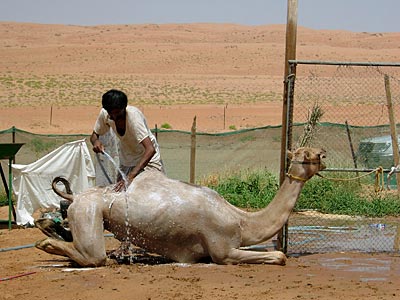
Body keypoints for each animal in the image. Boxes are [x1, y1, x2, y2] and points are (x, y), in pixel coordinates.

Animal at [36, 146, 326, 266]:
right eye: (306, 154)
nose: (323, 154)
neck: (243, 221)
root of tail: (77, 197)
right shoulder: (222, 251)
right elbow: (279, 256)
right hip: (89, 211)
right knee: (95, 257)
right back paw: (46, 243)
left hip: (86, 212)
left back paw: (49, 229)